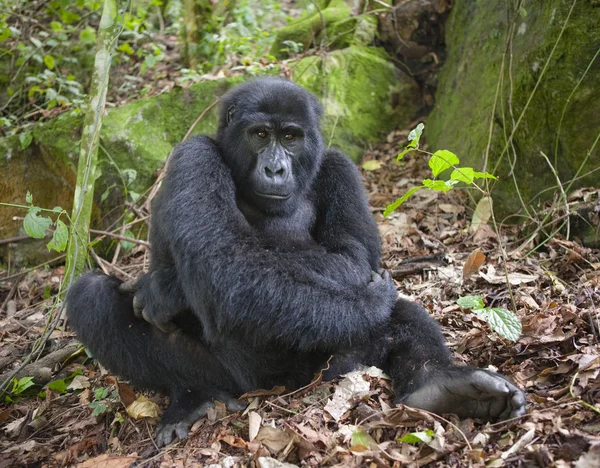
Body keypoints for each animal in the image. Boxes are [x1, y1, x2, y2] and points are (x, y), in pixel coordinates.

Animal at [67, 76, 524, 446]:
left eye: (290, 137)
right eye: (259, 134)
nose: (274, 169)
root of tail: (273, 389)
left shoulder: (339, 165)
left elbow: (352, 256)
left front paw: (167, 288)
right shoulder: (193, 155)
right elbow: (229, 266)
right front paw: (166, 288)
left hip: (325, 367)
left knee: (394, 315)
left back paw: (440, 386)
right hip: (233, 378)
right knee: (91, 297)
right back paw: (193, 397)